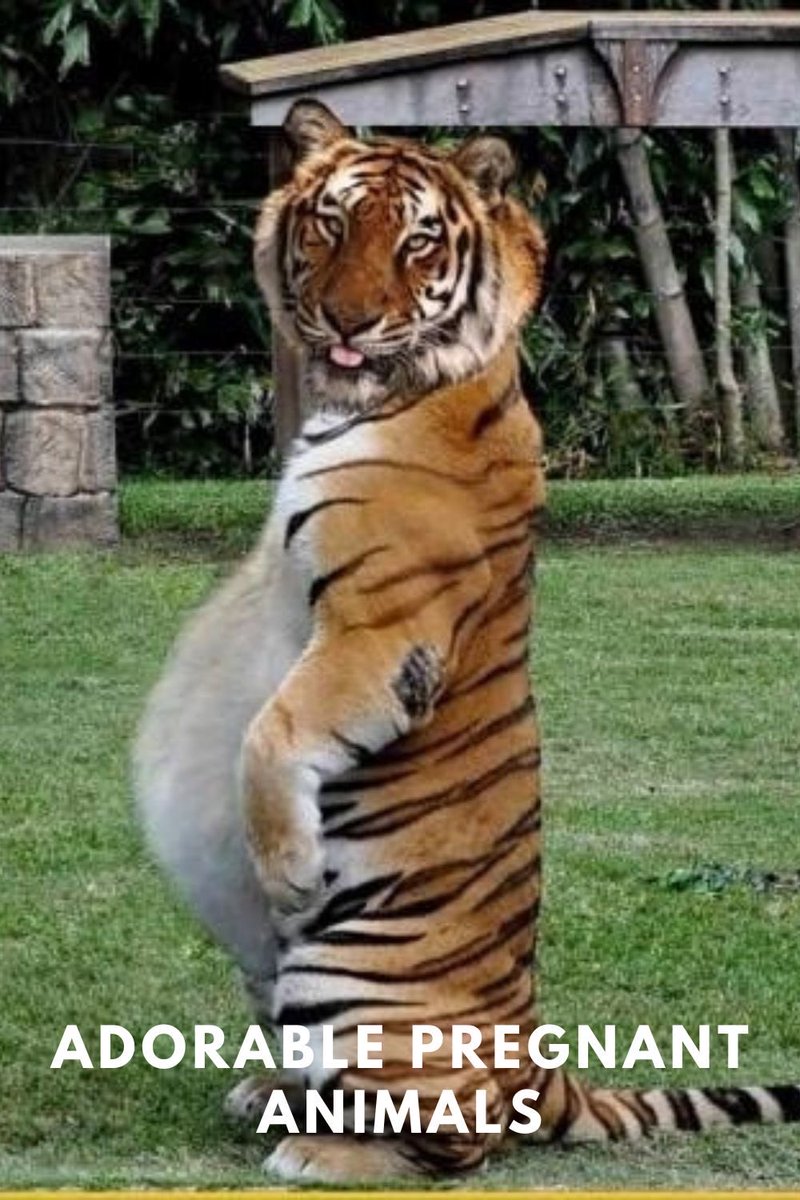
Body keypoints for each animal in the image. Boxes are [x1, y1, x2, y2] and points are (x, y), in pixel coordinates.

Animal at [134, 98, 800, 1183]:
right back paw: (267, 1096)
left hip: (353, 986)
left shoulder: (379, 629)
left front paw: (287, 864)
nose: (348, 322)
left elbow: (271, 734)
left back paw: (319, 1153)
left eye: (415, 242)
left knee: (453, 1139)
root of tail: (539, 1062)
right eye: (329, 224)